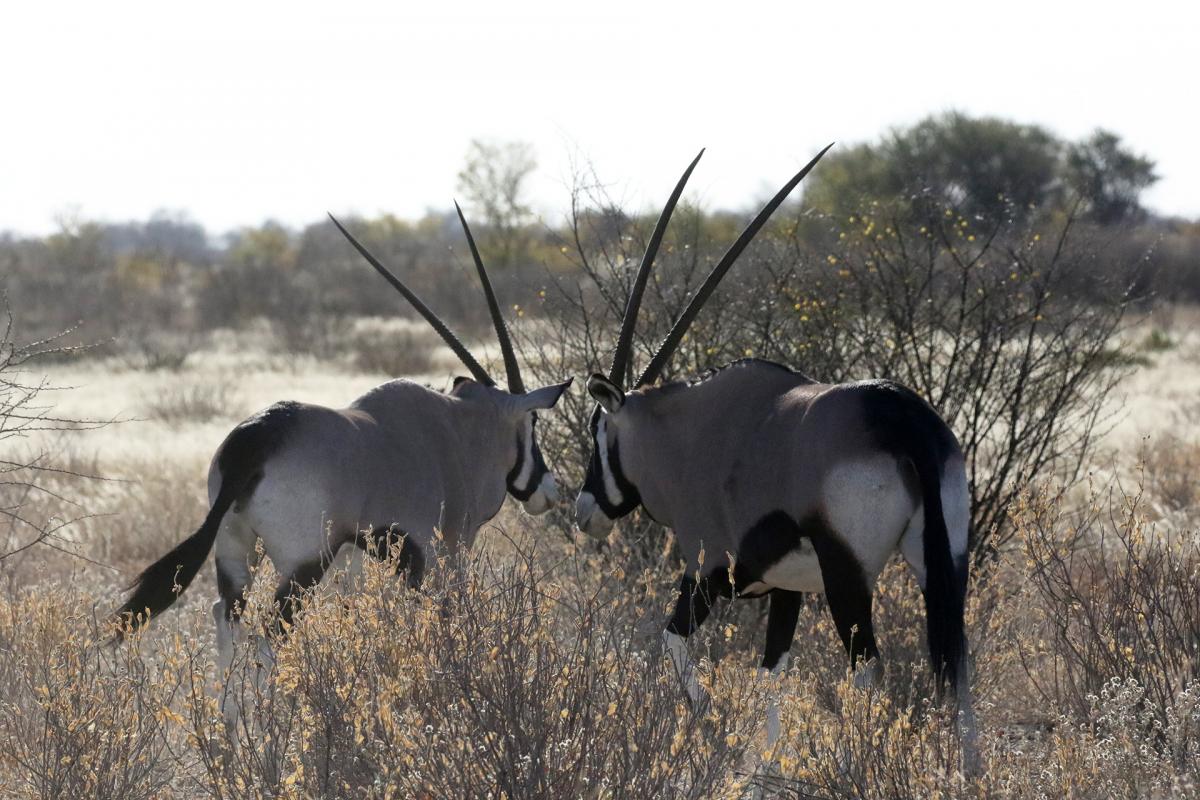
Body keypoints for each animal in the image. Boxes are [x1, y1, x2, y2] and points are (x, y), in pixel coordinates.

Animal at [117, 205, 571, 681]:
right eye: (533, 423)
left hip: (236, 550)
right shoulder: (443, 552)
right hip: (303, 564)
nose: (548, 491)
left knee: (226, 617)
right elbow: (443, 616)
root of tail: (261, 435)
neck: (458, 431)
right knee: (269, 634)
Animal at [571, 149, 974, 767]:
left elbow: (670, 640)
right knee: (958, 665)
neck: (690, 431)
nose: (584, 510)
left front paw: (710, 723)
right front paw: (760, 765)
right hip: (944, 562)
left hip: (849, 578)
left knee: (868, 671)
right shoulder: (788, 589)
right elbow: (771, 675)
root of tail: (896, 415)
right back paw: (968, 773)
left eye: (599, 430)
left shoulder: (709, 569)